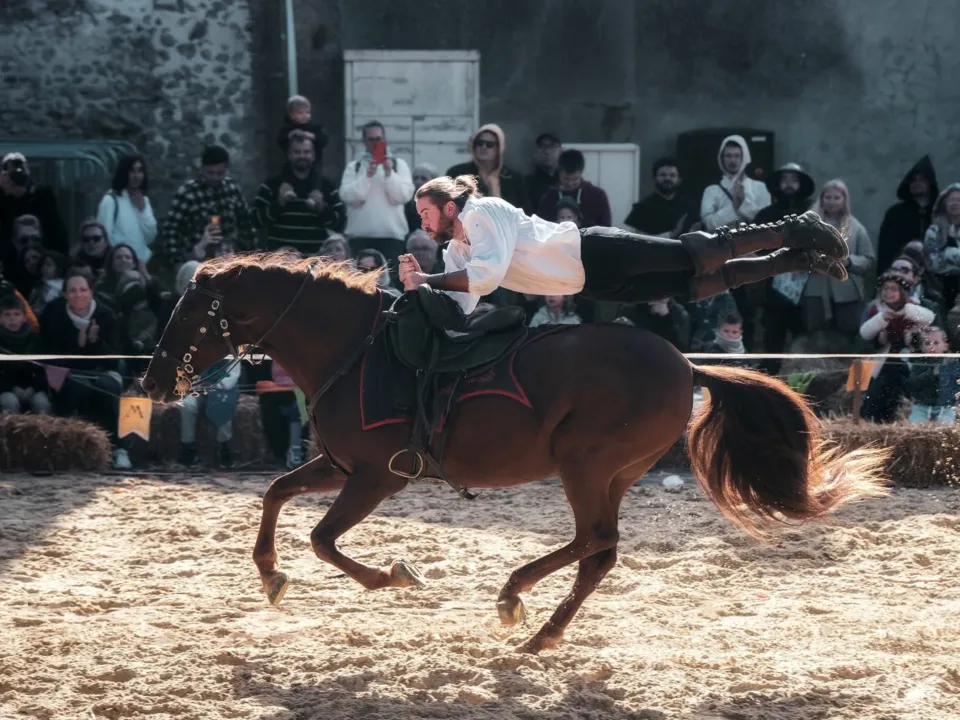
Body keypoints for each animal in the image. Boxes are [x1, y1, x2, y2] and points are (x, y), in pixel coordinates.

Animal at [140, 251, 887, 655]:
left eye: (188, 314)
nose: (150, 382)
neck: (352, 348)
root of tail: (684, 363)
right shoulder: (340, 467)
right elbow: (274, 495)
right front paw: (270, 575)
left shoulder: (377, 478)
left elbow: (324, 540)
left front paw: (396, 575)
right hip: (611, 472)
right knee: (598, 551)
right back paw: (540, 627)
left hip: (585, 464)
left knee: (593, 542)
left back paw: (514, 600)